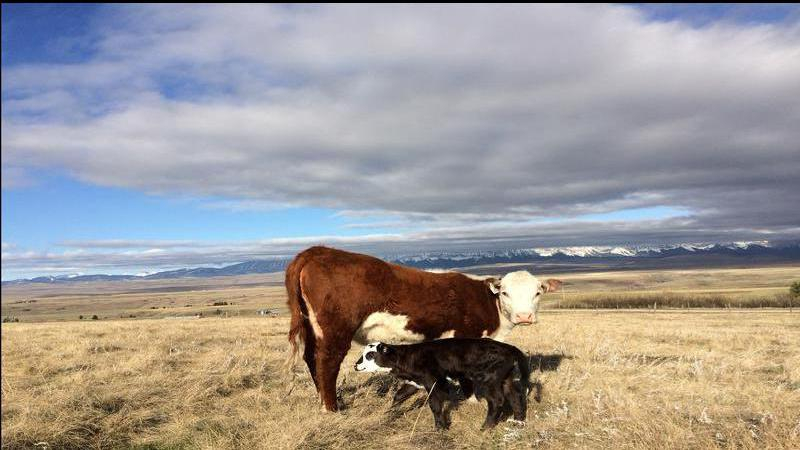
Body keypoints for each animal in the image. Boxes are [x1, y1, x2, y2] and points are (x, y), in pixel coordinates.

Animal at [284, 246, 560, 412]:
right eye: (505, 293)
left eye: (538, 292)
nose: (524, 316)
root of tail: (317, 251)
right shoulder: (465, 336)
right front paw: (473, 399)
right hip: (336, 329)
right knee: (327, 362)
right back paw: (332, 408)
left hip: (311, 324)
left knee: (310, 358)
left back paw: (323, 399)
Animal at [354, 340, 536, 430]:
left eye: (370, 355)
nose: (355, 365)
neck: (408, 358)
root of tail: (508, 347)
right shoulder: (415, 382)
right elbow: (398, 396)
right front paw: (389, 413)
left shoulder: (434, 383)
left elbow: (435, 405)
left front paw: (440, 427)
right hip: (505, 379)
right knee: (515, 396)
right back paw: (518, 422)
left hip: (489, 380)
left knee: (497, 401)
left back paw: (486, 427)